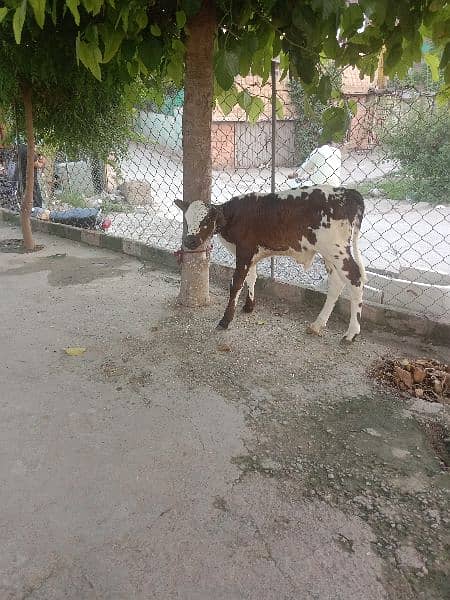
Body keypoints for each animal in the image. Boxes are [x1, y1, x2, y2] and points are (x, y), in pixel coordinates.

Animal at [174, 185, 368, 340]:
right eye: (186, 220)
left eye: (207, 220)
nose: (189, 241)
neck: (234, 216)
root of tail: (348, 192)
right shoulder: (251, 254)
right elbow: (252, 277)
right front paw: (249, 306)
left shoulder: (244, 251)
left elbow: (236, 284)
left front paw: (226, 319)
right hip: (329, 253)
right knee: (336, 283)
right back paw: (318, 324)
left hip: (336, 250)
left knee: (355, 278)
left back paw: (352, 332)